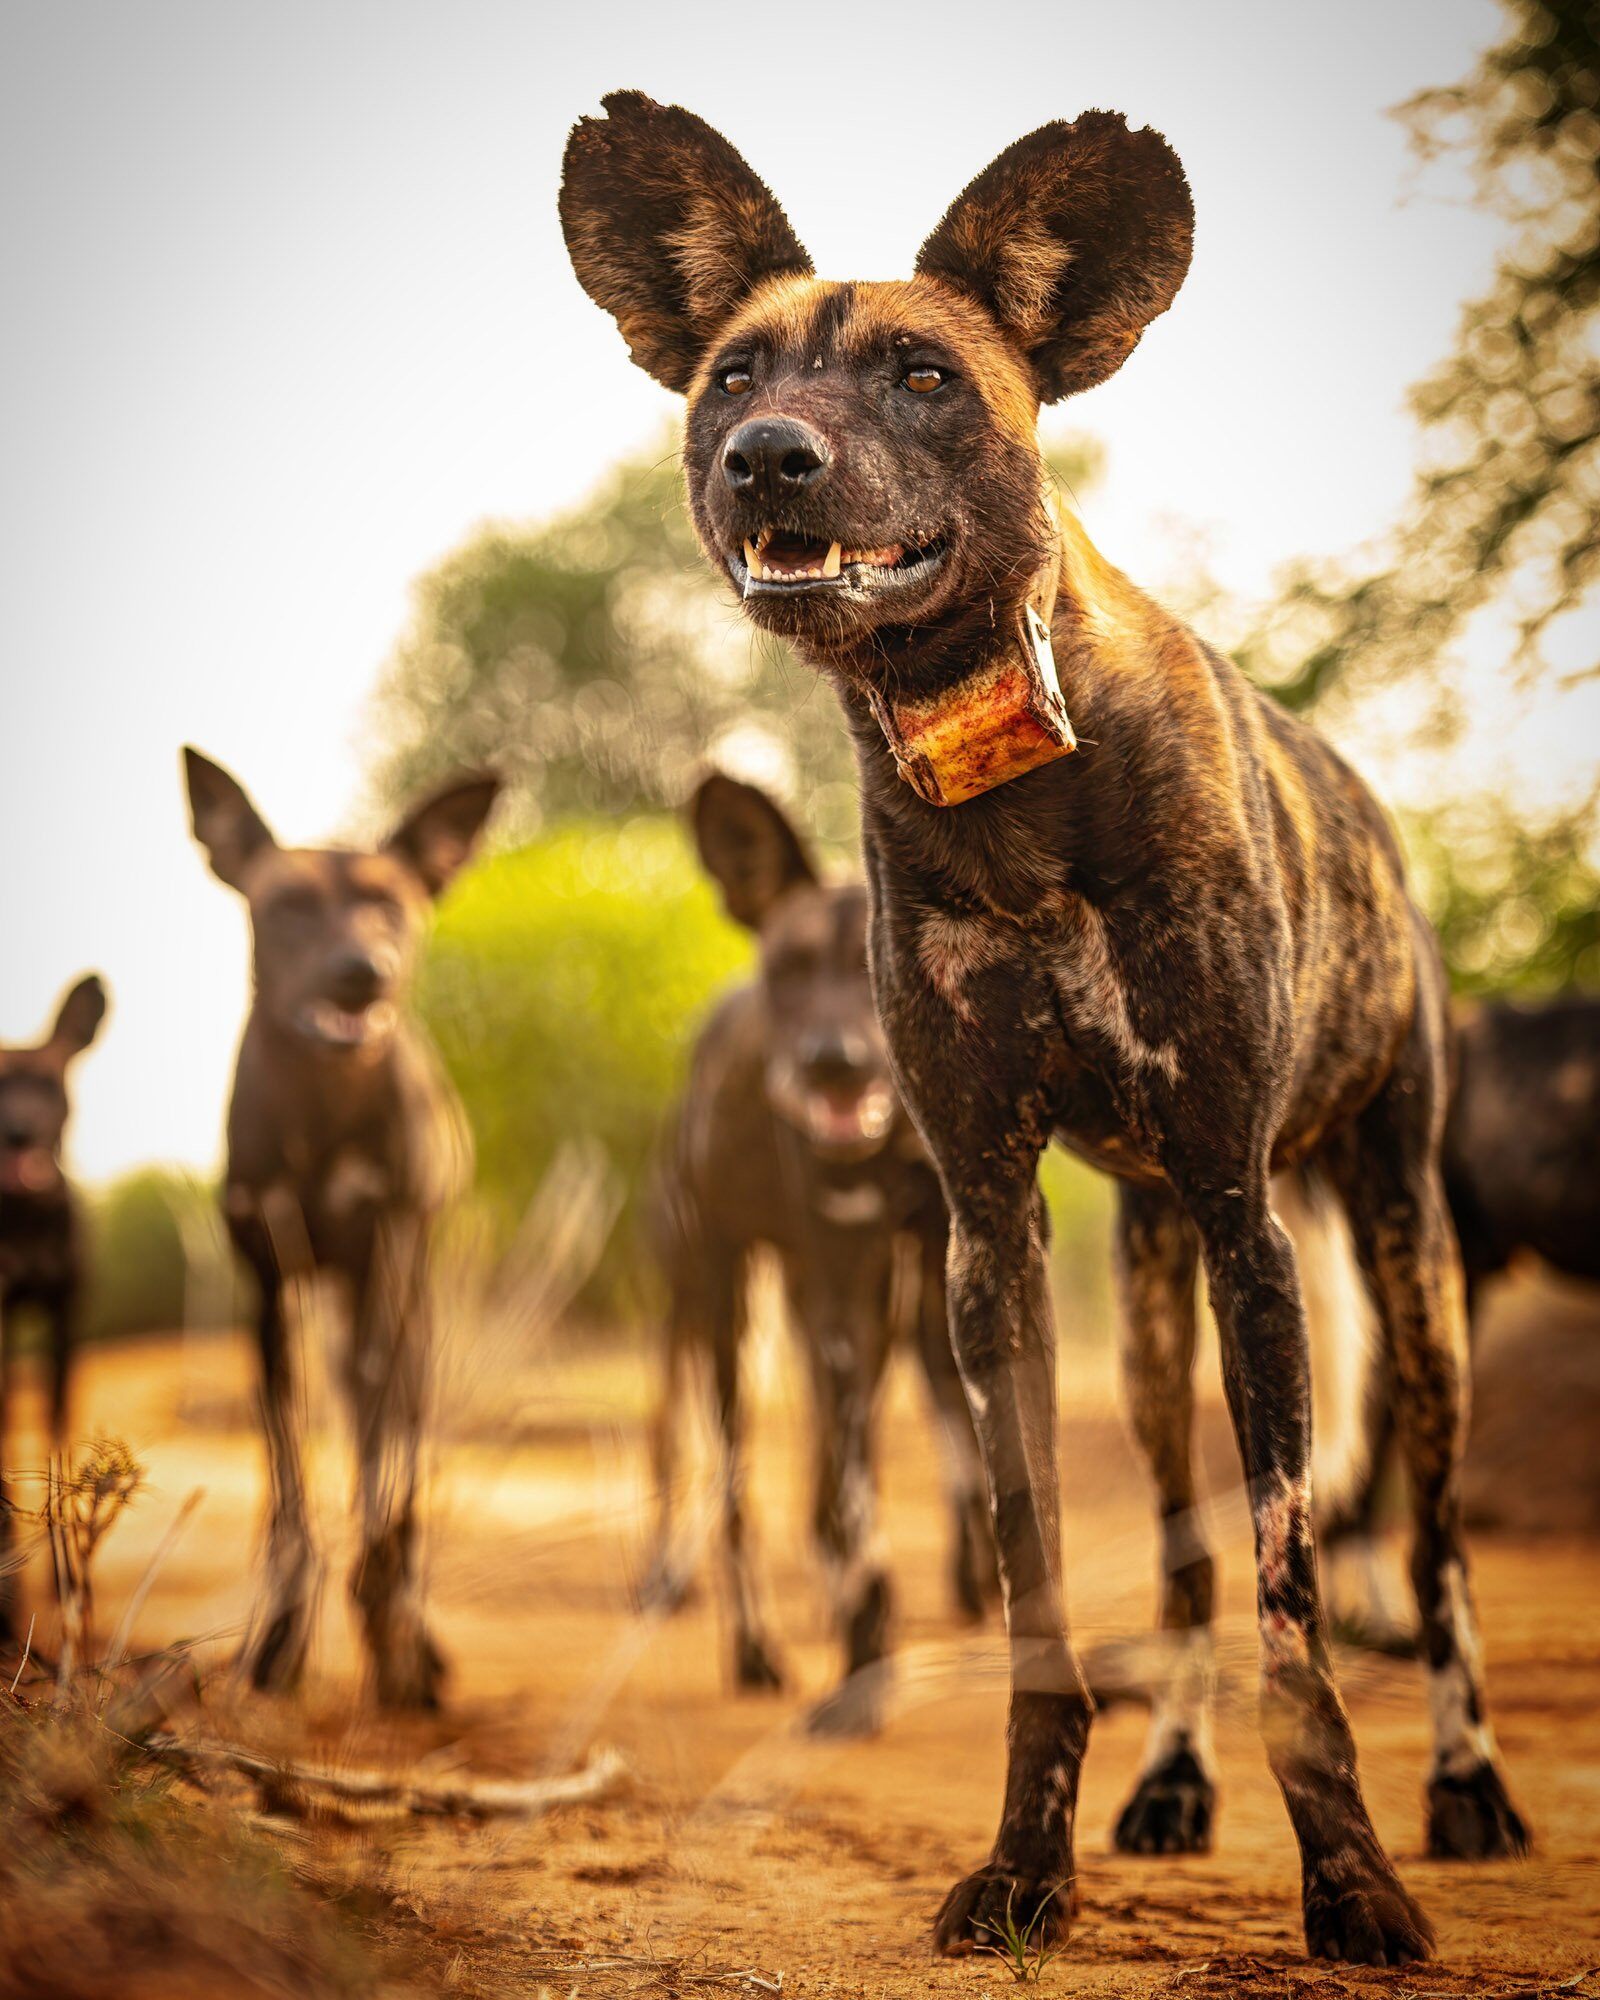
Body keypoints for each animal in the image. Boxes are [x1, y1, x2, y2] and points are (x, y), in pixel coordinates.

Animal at [181, 744, 496, 1712]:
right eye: (286, 906)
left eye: (390, 905)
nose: (365, 968)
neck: (320, 1112)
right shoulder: (269, 1296)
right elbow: (288, 1489)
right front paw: (280, 1638)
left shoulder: (385, 1271)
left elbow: (386, 1482)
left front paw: (395, 1637)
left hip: (403, 1311)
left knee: (393, 1444)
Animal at [644, 772, 992, 1744]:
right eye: (791, 971)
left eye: (871, 970)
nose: (831, 1064)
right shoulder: (839, 1293)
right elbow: (851, 1497)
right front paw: (864, 1669)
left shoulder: (930, 1279)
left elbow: (963, 1454)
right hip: (719, 1303)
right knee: (726, 1476)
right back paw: (754, 1646)